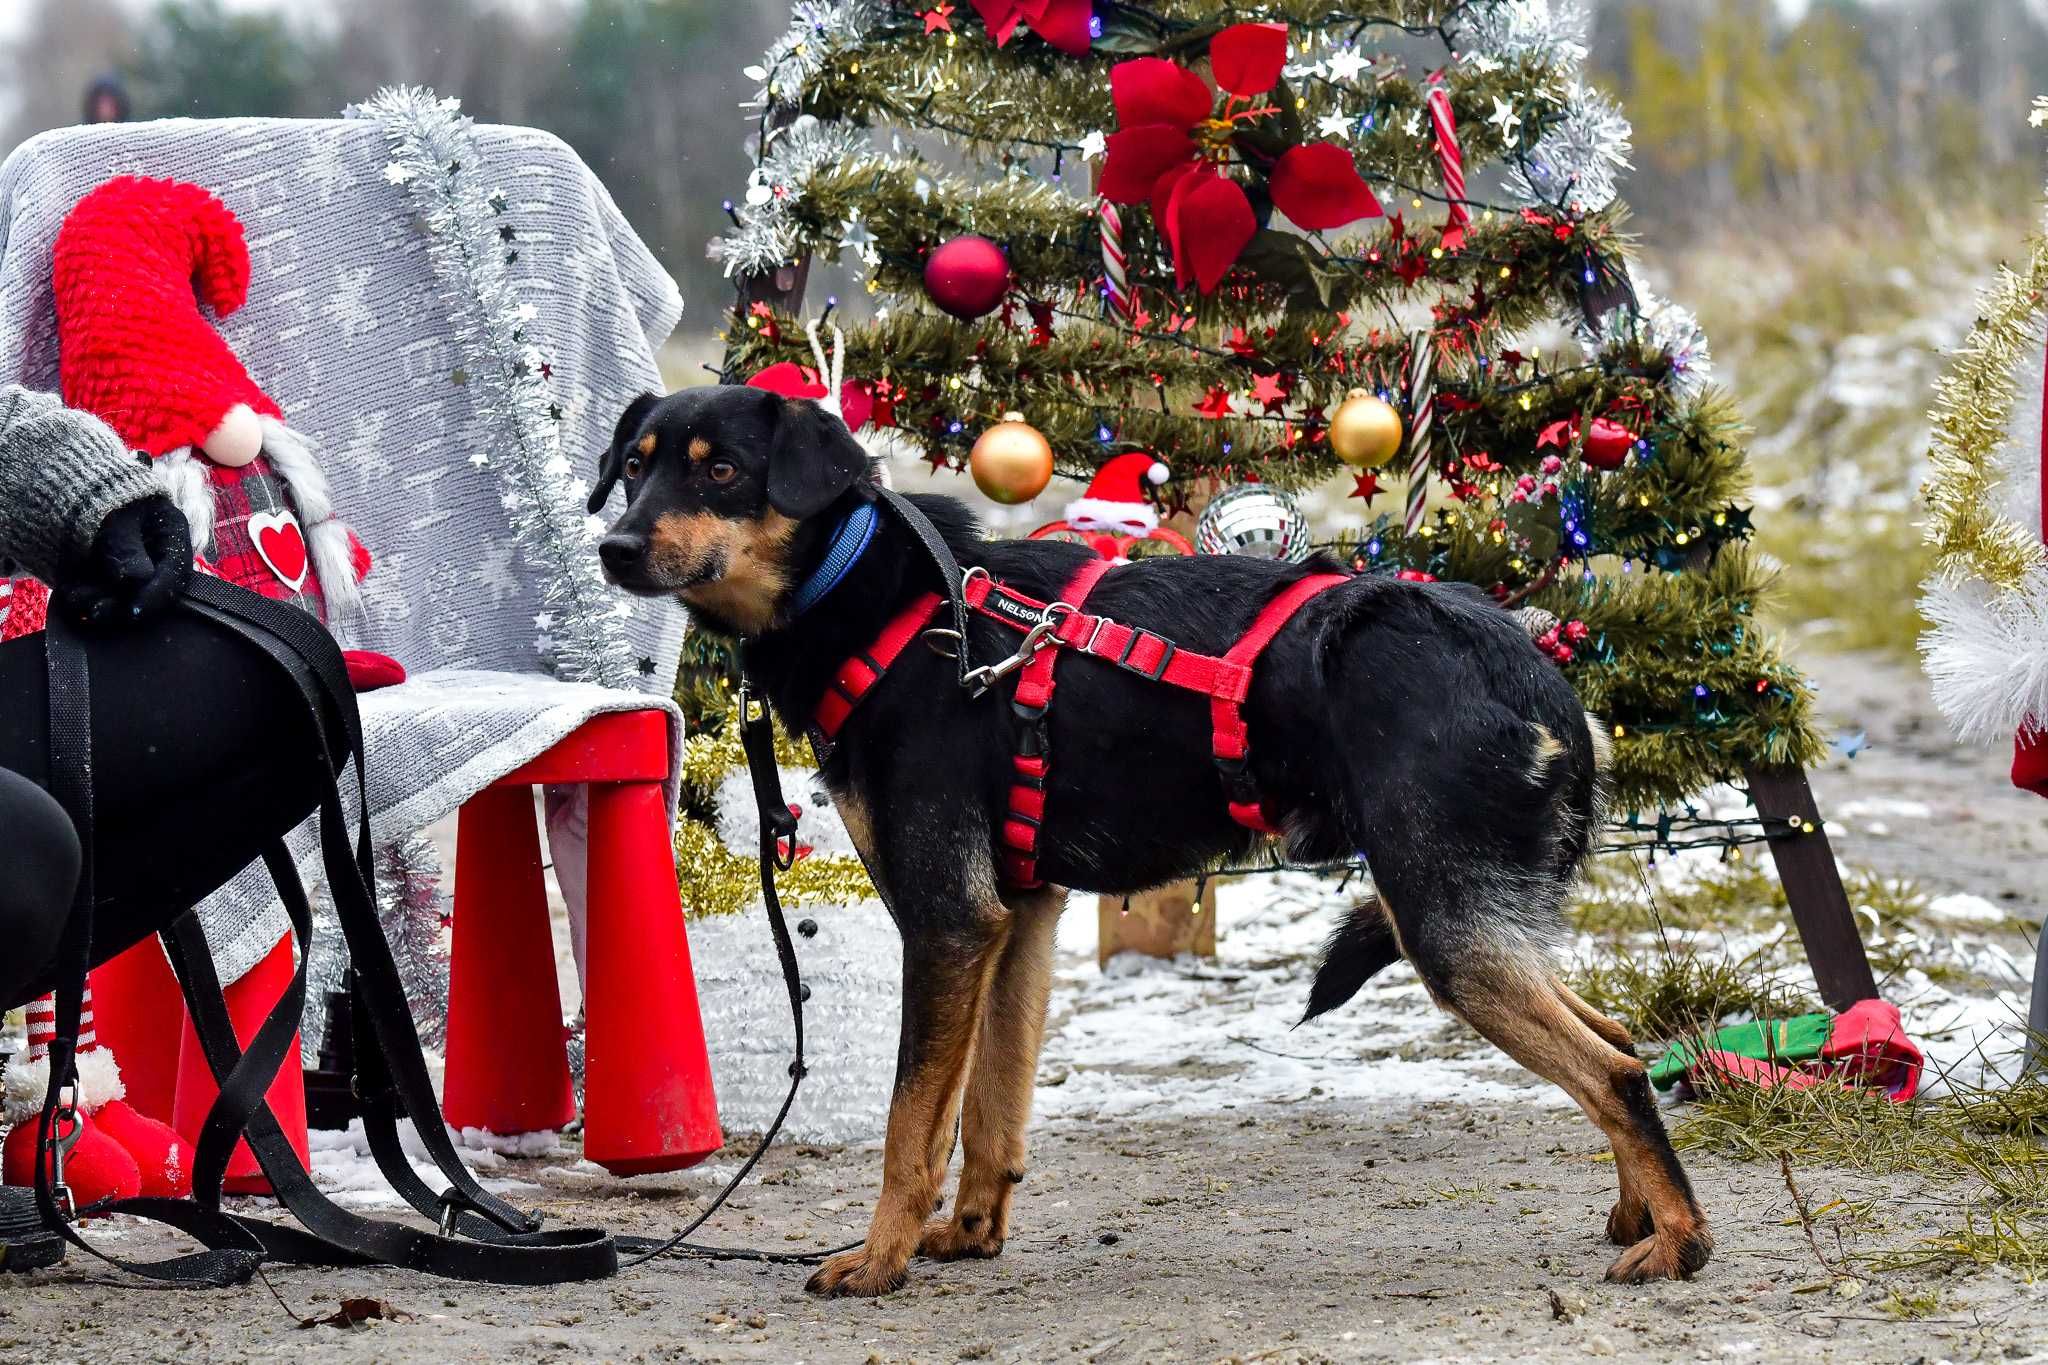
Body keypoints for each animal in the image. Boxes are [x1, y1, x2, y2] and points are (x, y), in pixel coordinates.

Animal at [593, 382, 1712, 1293]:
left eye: (723, 471)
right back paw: (1633, 1211)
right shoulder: (1018, 917)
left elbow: (912, 1124)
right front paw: (968, 1233)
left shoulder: (947, 917)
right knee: (1618, 1042)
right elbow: (990, 1107)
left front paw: (879, 1258)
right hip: (1468, 911)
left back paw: (1679, 1239)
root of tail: (1537, 679)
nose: (612, 548)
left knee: (1613, 1069)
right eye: (634, 467)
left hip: (1442, 922)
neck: (888, 601)